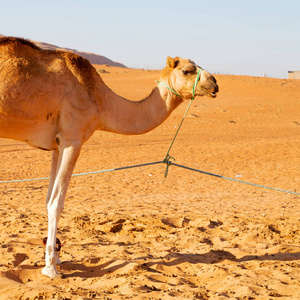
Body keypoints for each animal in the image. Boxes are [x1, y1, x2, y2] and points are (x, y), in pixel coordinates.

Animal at [0, 37, 219, 278]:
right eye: (187, 70)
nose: (215, 83)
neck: (99, 99)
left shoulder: (57, 144)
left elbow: (48, 198)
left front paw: (55, 258)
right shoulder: (72, 139)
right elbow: (57, 203)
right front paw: (50, 268)